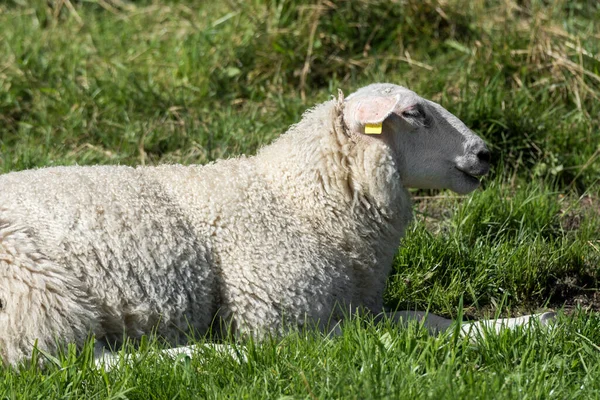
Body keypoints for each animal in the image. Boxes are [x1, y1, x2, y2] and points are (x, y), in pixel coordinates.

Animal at [0, 83, 552, 368]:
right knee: (85, 364)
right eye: (415, 113)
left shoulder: (353, 303)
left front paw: (528, 323)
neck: (297, 199)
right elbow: (376, 341)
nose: (486, 153)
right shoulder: (279, 317)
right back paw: (211, 356)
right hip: (39, 297)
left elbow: (422, 320)